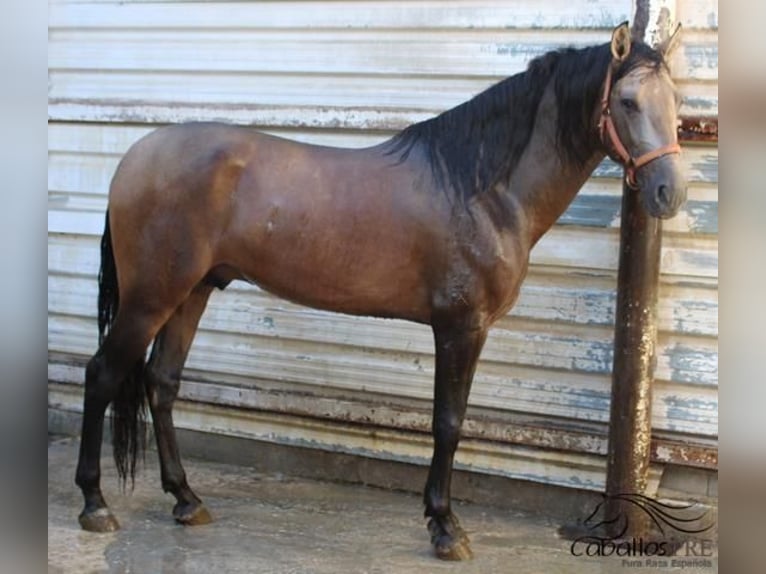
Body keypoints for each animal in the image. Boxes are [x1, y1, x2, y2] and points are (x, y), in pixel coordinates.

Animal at [75, 23, 688, 564]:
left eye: (675, 102)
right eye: (627, 101)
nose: (670, 192)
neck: (480, 189)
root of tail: (136, 158)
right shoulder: (461, 327)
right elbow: (448, 422)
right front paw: (445, 527)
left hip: (193, 290)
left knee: (162, 383)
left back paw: (186, 499)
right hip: (151, 298)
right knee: (103, 374)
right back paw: (94, 503)